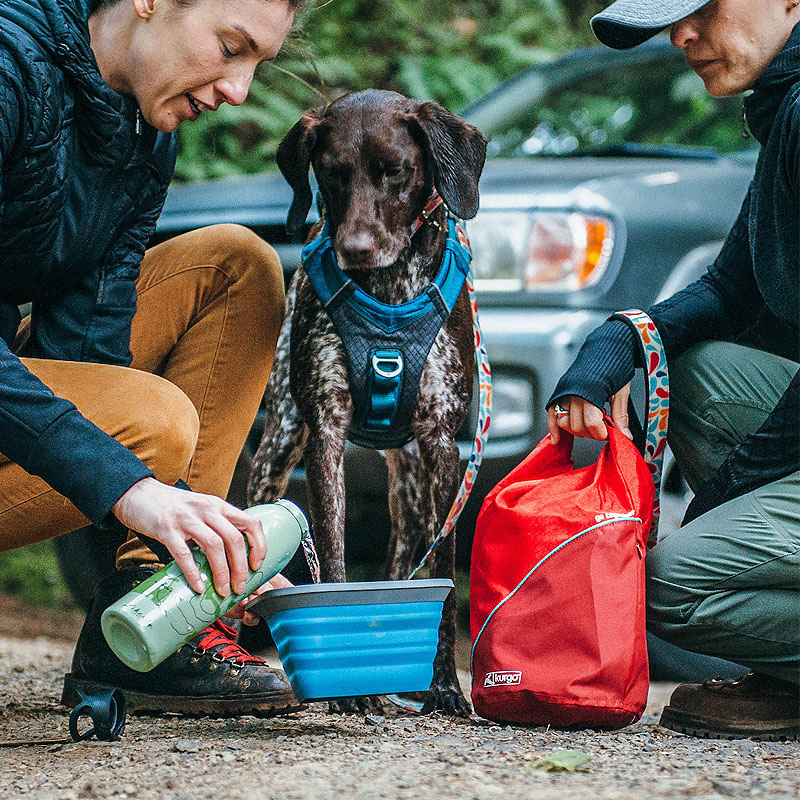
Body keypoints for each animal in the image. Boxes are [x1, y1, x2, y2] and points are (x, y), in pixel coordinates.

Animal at [248, 90, 488, 716]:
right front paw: (348, 691)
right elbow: (332, 556)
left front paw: (445, 687)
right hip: (278, 445)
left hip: (410, 484)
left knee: (404, 555)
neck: (388, 293)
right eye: (331, 174)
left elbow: (444, 578)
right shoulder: (325, 436)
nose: (353, 250)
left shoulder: (441, 444)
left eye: (394, 172)